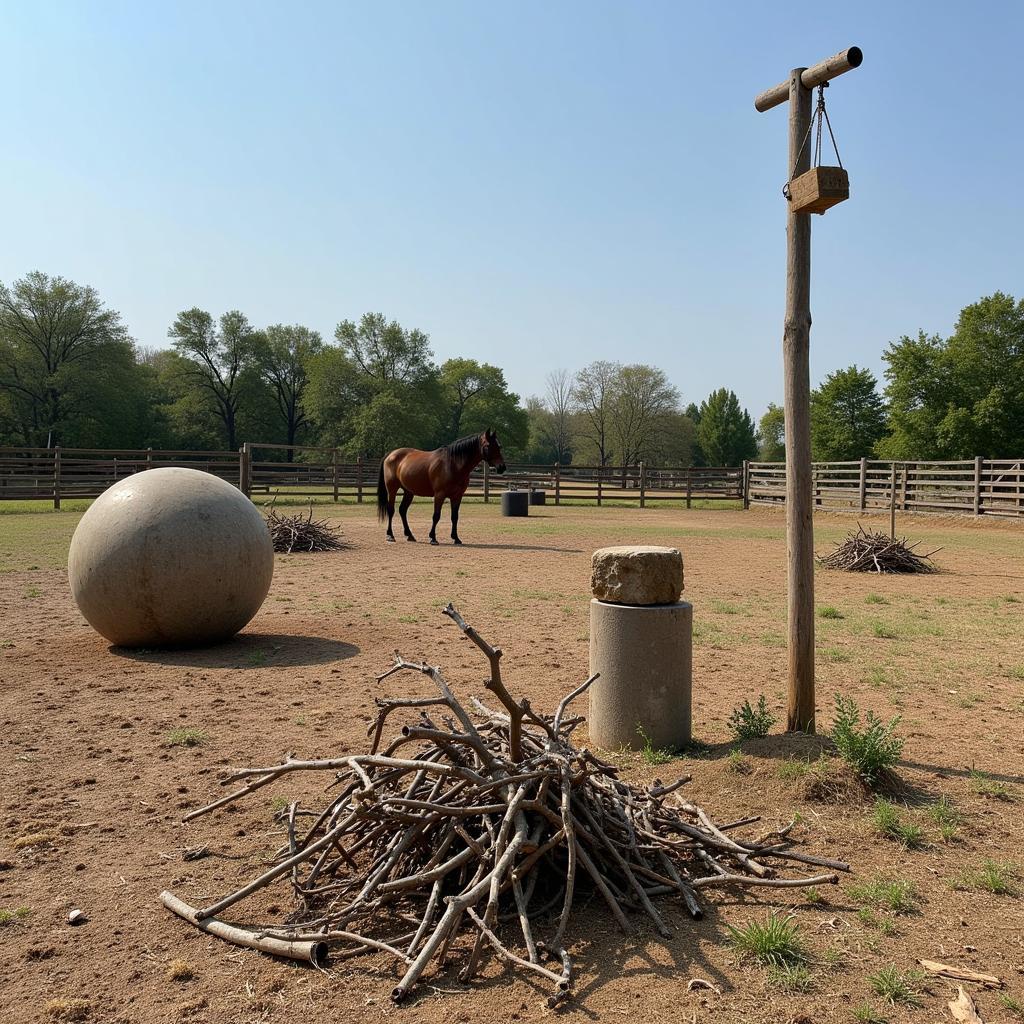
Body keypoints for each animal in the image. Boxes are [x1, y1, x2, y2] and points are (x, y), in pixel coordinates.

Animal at [374, 430, 505, 548]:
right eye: (488, 445)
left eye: (499, 446)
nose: (502, 467)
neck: (452, 464)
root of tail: (391, 454)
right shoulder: (439, 495)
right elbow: (436, 516)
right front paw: (433, 538)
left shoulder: (457, 496)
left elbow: (454, 517)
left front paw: (456, 538)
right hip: (392, 489)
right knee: (391, 510)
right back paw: (390, 535)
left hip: (409, 492)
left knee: (402, 510)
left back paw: (410, 535)